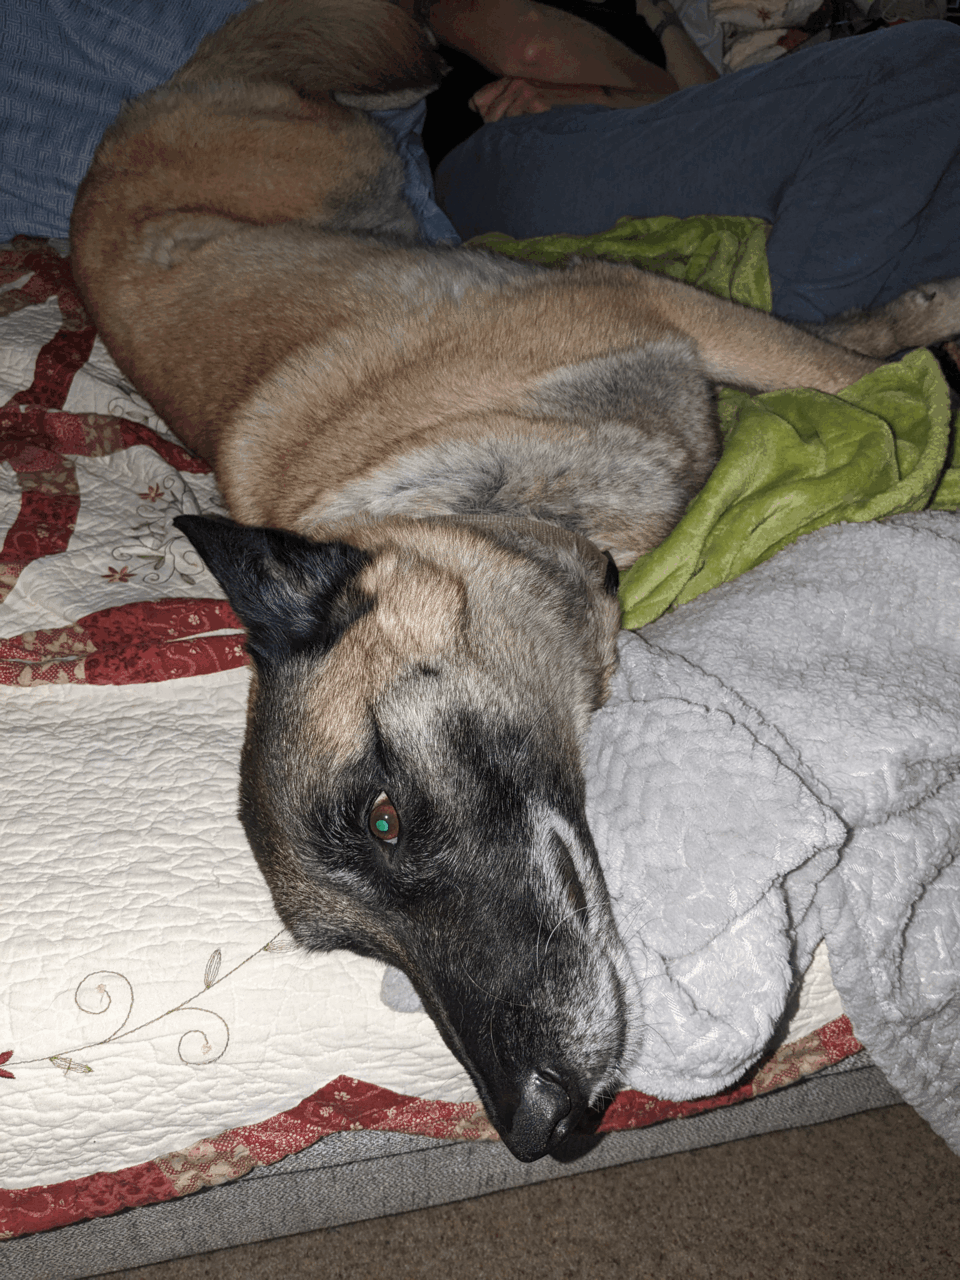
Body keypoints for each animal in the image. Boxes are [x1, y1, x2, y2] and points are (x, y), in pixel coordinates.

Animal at [71, 0, 960, 1162]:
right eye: (361, 949)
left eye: (384, 817)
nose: (536, 1126)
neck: (491, 503)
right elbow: (844, 359)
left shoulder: (660, 305)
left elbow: (839, 361)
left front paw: (914, 327)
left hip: (345, 156)